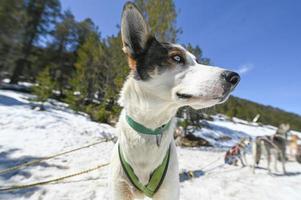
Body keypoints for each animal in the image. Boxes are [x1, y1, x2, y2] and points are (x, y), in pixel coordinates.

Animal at [110, 1, 239, 200]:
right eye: (177, 57)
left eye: (196, 60)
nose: (235, 78)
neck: (150, 128)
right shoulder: (120, 189)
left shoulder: (169, 190)